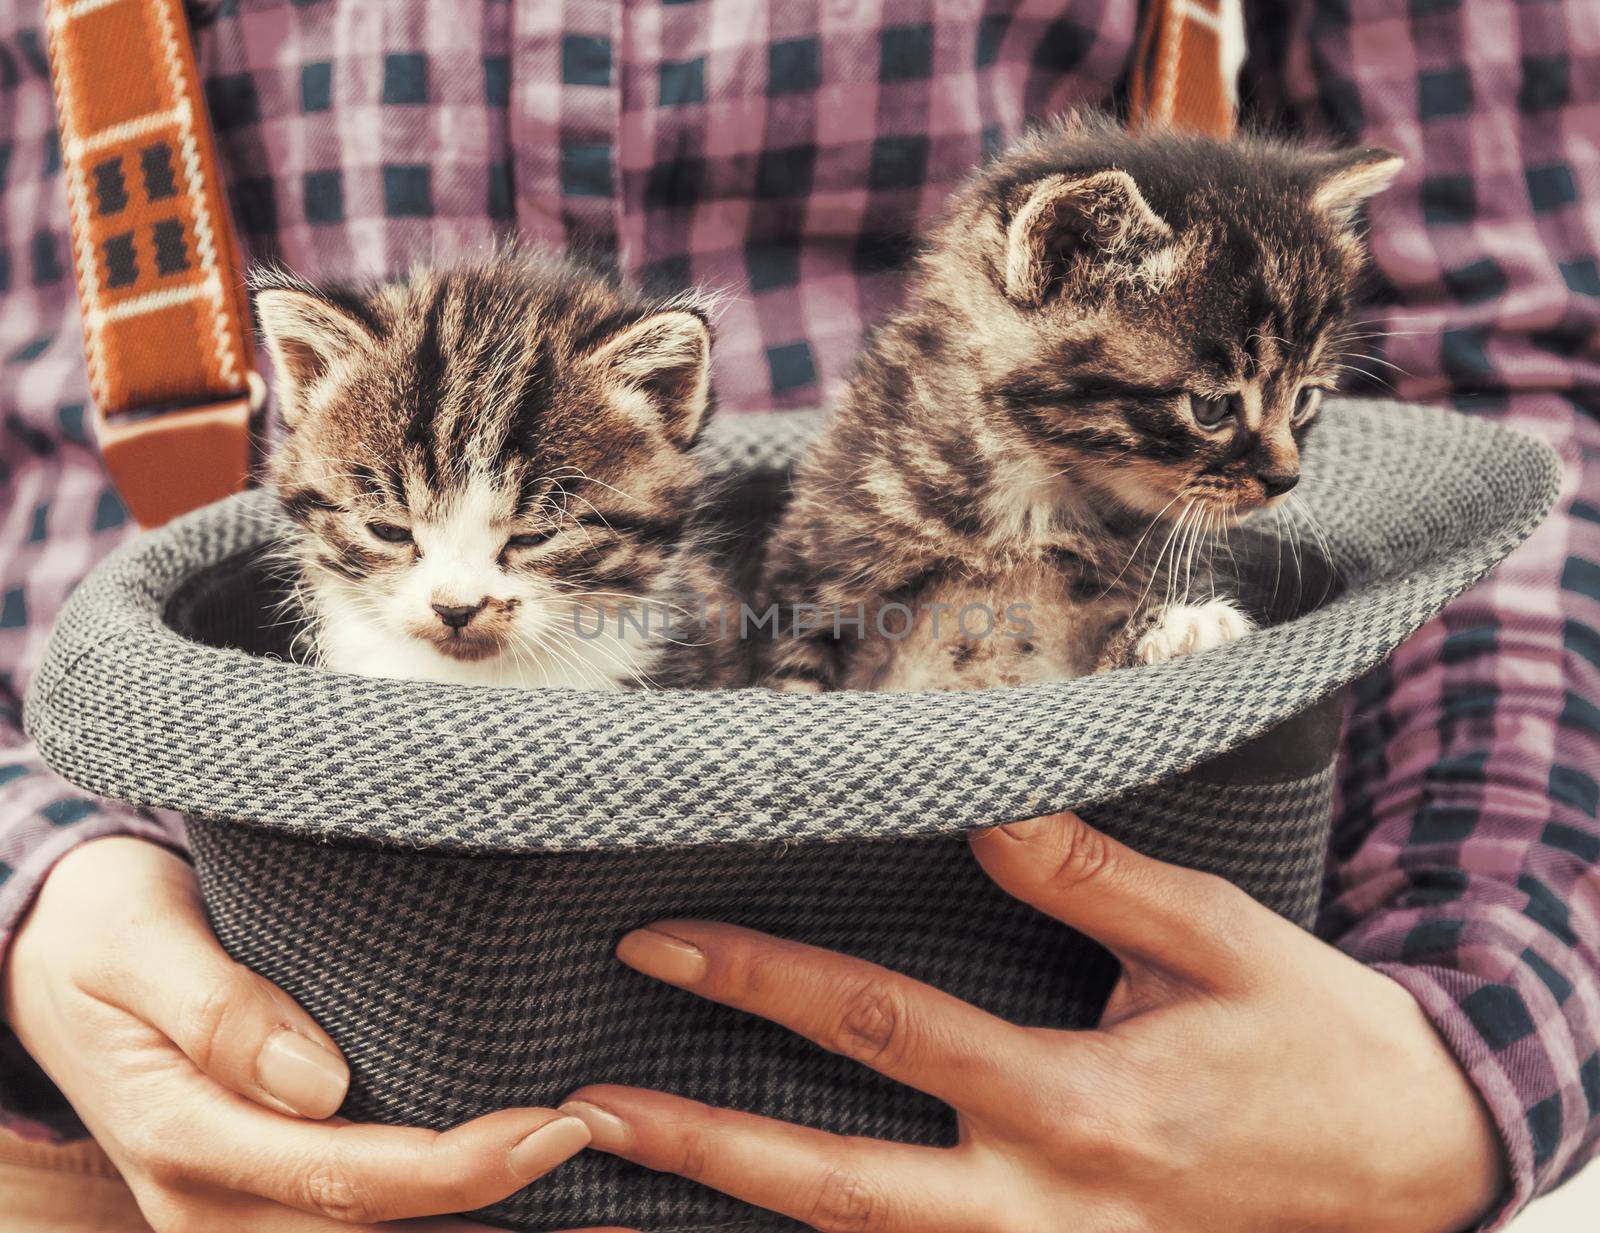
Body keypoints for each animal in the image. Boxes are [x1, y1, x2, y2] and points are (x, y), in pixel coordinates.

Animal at [761, 113, 1401, 694]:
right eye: (1211, 409)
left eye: (1304, 400)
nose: (1284, 480)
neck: (1036, 504)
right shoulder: (815, 592)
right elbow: (797, 681)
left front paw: (1177, 631)